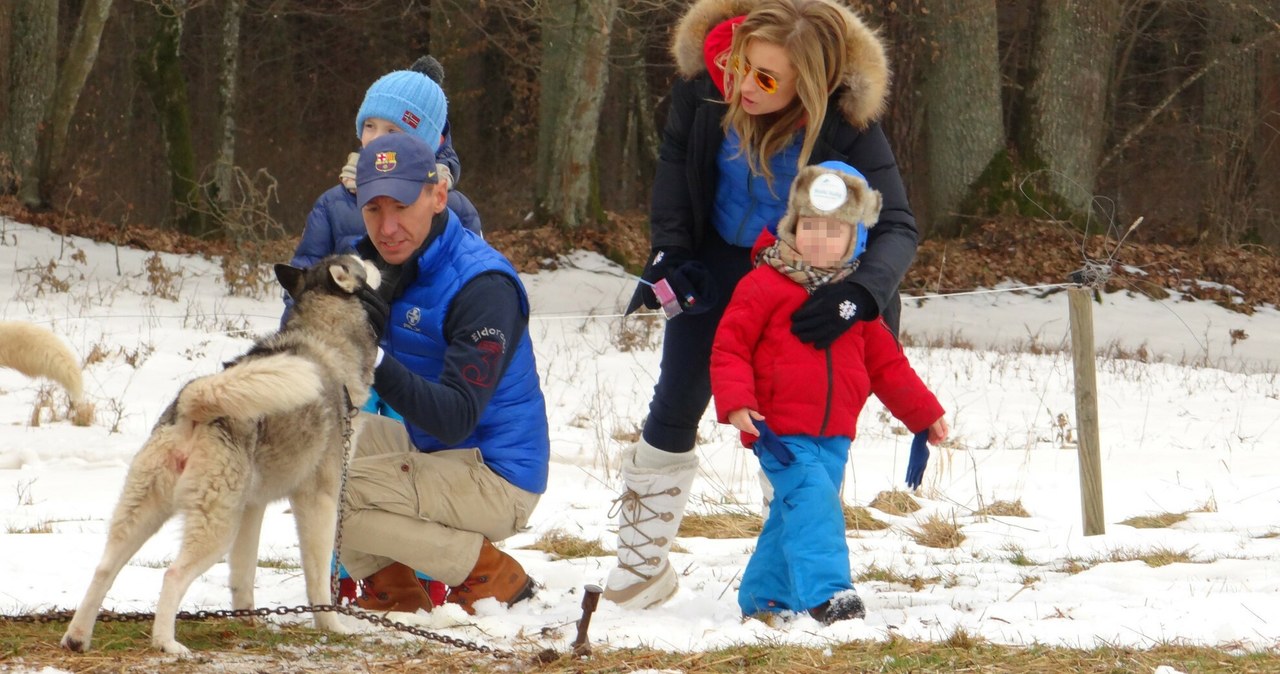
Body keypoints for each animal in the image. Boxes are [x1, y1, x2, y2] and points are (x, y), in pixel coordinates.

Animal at [60, 254, 378, 654]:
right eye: (357, 260)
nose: (373, 254)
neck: (324, 335)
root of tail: (194, 406)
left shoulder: (252, 507)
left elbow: (243, 575)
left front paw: (248, 623)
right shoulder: (318, 500)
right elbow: (319, 579)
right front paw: (332, 625)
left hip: (146, 512)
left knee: (104, 568)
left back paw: (77, 637)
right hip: (216, 528)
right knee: (173, 574)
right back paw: (167, 644)